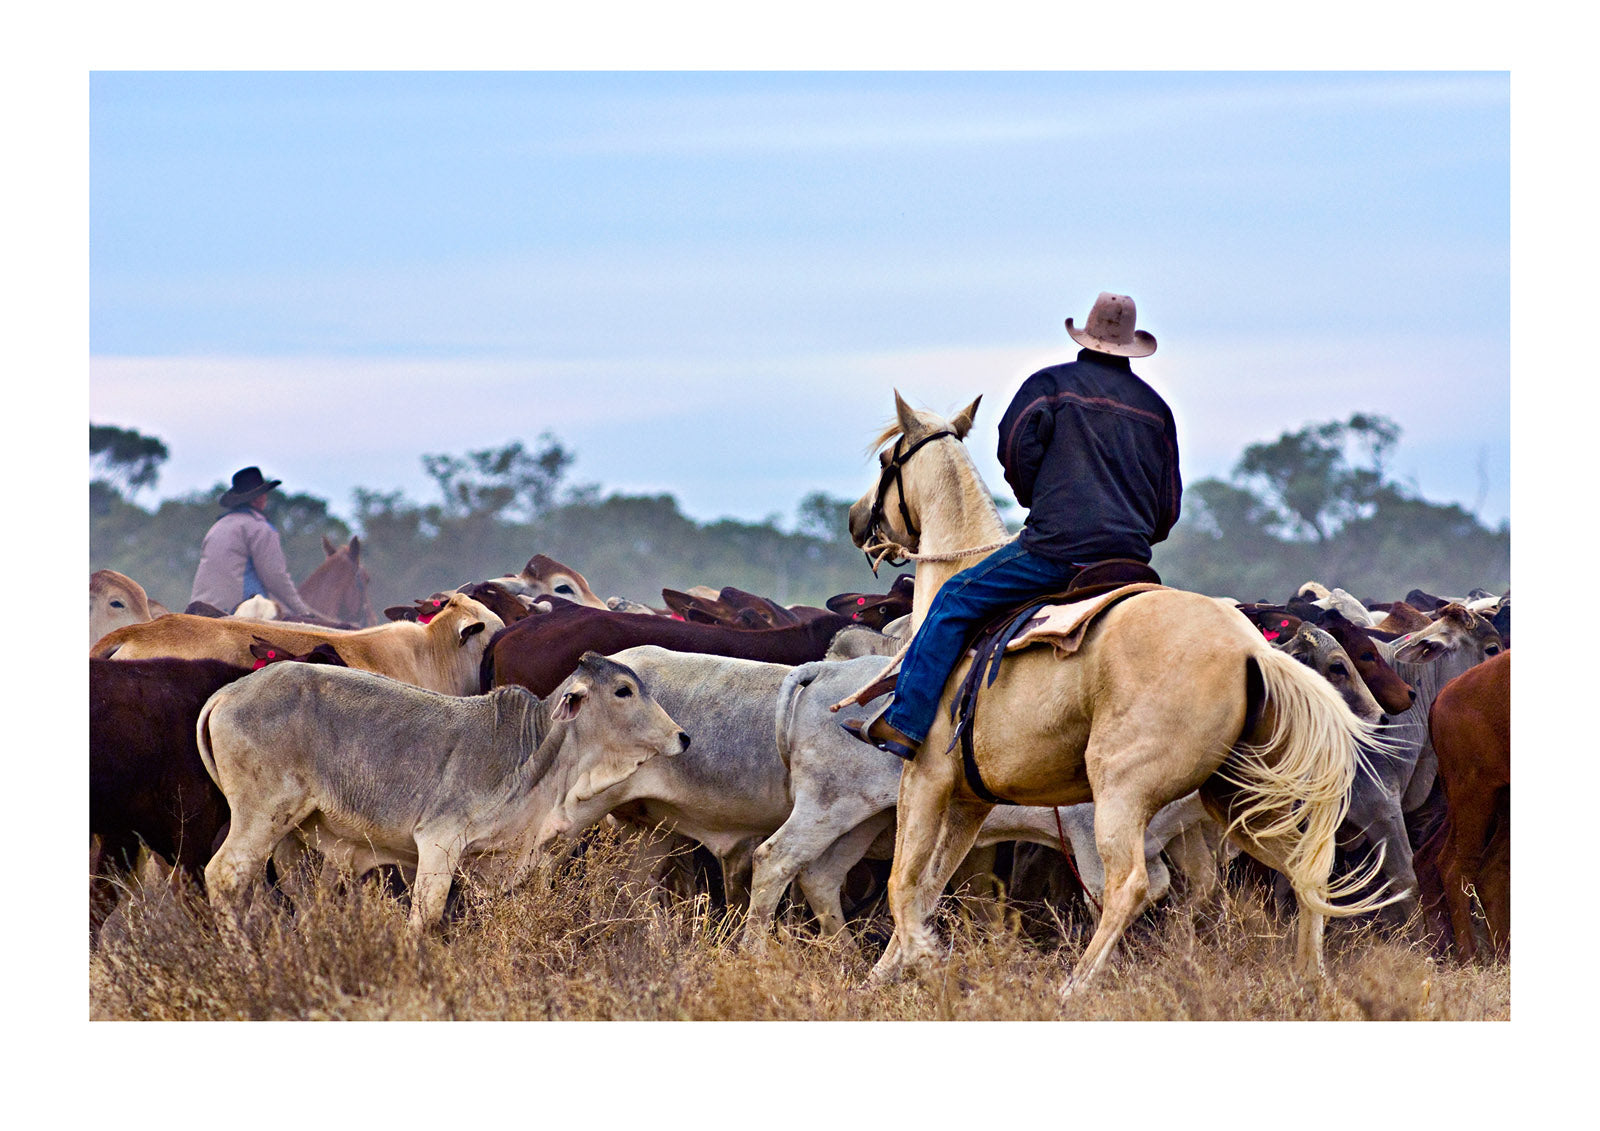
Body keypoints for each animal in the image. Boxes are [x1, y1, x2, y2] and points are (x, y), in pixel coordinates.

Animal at [844, 393, 1395, 998]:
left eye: (885, 461)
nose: (855, 518)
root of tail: (1252, 650)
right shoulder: (970, 799)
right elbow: (927, 885)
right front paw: (882, 976)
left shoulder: (924, 776)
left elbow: (902, 881)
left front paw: (920, 958)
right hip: (1237, 798)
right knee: (1304, 868)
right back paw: (1310, 978)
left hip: (1122, 791)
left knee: (1129, 883)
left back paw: (1076, 985)